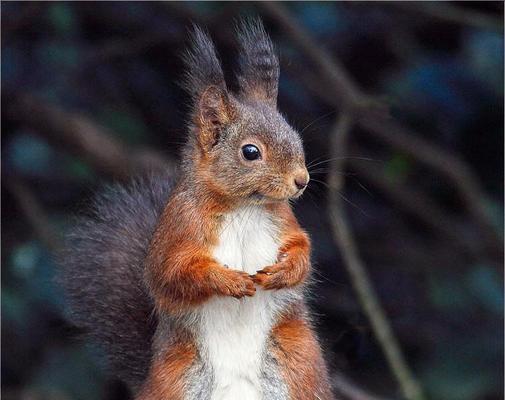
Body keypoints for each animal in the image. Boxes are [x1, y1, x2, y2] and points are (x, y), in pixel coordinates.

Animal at [60, 19, 334, 400]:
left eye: (296, 137)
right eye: (250, 152)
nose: (301, 180)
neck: (243, 207)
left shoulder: (284, 220)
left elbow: (302, 249)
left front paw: (284, 270)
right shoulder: (179, 227)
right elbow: (173, 272)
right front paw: (229, 280)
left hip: (298, 370)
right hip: (176, 379)